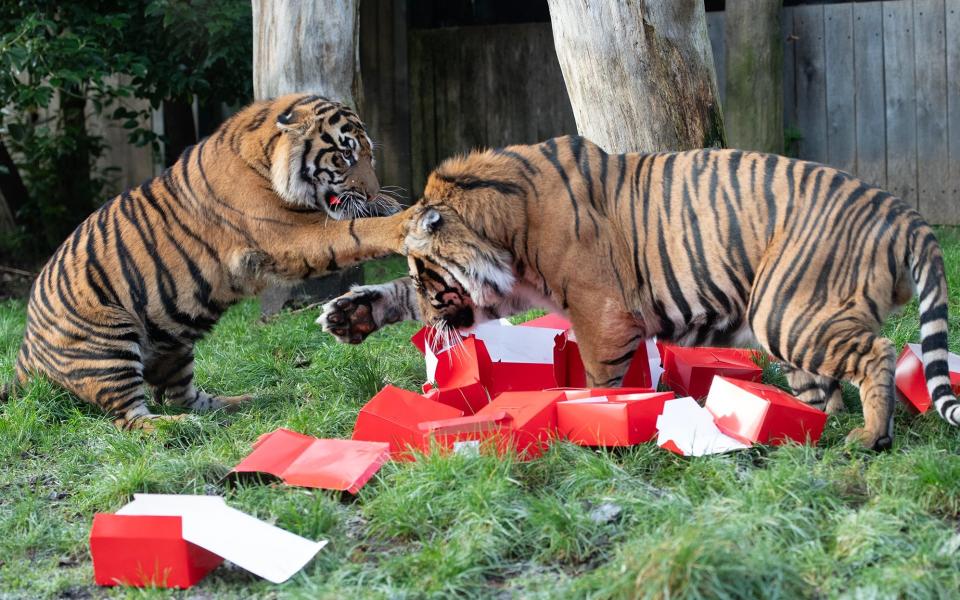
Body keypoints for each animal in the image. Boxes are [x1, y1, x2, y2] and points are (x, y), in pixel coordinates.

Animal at [0, 92, 408, 426]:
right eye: (344, 155)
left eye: (368, 154)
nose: (372, 191)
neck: (263, 155)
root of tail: (25, 349)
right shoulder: (290, 235)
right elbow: (352, 231)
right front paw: (403, 223)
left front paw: (389, 205)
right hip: (110, 343)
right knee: (131, 418)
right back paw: (182, 427)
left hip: (175, 347)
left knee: (181, 397)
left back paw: (248, 401)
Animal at [318, 134, 956, 448]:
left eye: (427, 267)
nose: (439, 324)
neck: (507, 229)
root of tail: (905, 214)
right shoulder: (513, 291)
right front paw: (349, 313)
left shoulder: (601, 312)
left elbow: (601, 379)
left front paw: (593, 418)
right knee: (826, 389)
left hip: (788, 310)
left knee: (876, 355)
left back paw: (871, 438)